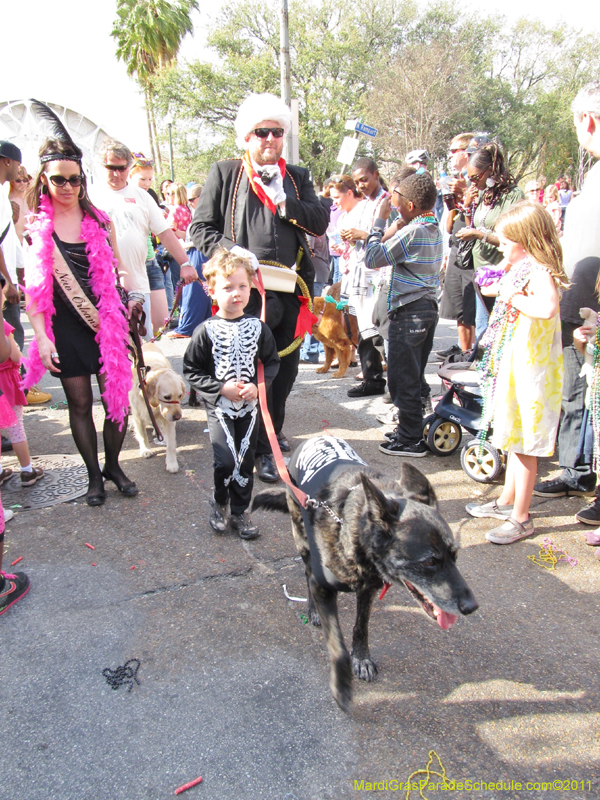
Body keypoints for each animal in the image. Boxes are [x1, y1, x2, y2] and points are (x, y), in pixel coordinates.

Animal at [253, 438, 478, 712]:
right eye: (430, 561)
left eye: (455, 555)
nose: (472, 606)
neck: (352, 529)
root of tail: (313, 439)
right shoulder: (323, 588)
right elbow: (336, 644)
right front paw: (341, 685)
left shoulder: (368, 589)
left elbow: (361, 626)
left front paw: (361, 658)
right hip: (303, 541)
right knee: (306, 573)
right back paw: (312, 609)